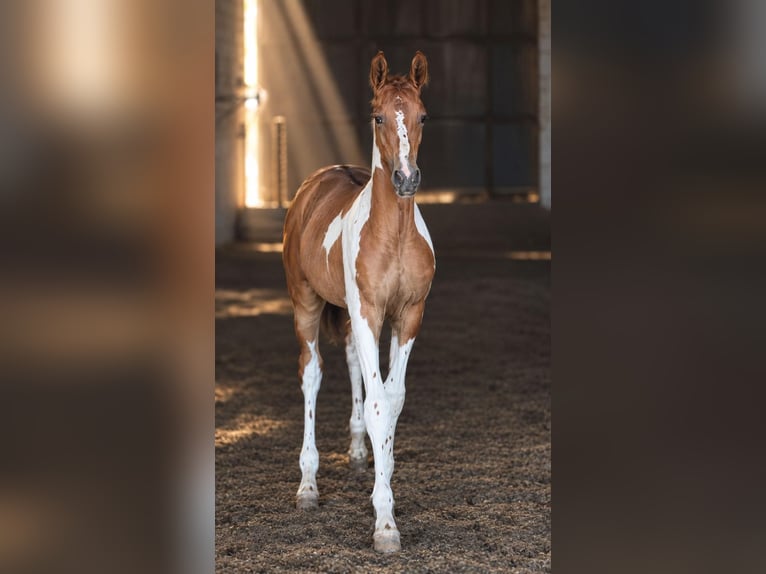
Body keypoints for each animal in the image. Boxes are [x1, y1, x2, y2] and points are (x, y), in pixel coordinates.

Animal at [282, 51, 435, 553]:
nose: (406, 179)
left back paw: (356, 452)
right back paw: (308, 486)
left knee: (350, 362)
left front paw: (381, 474)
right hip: (306, 303)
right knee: (312, 374)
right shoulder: (368, 311)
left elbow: (391, 397)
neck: (395, 233)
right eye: (378, 115)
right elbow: (378, 404)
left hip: (347, 314)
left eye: (422, 115)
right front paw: (385, 523)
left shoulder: (408, 315)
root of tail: (320, 178)